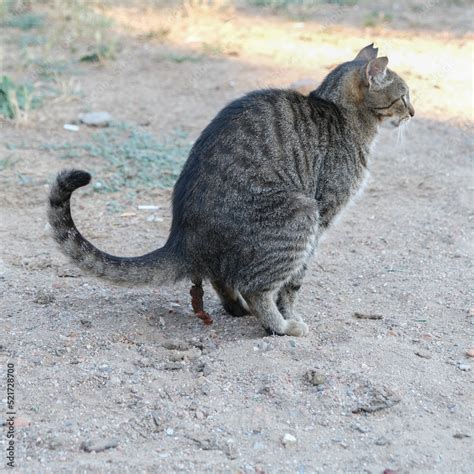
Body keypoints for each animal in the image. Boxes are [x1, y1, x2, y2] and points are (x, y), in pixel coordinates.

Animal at [46, 42, 412, 336]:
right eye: (404, 95)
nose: (412, 111)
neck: (341, 112)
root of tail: (182, 239)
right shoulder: (322, 216)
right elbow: (293, 284)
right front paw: (289, 315)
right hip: (299, 212)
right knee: (256, 288)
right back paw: (280, 326)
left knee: (222, 279)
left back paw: (239, 309)